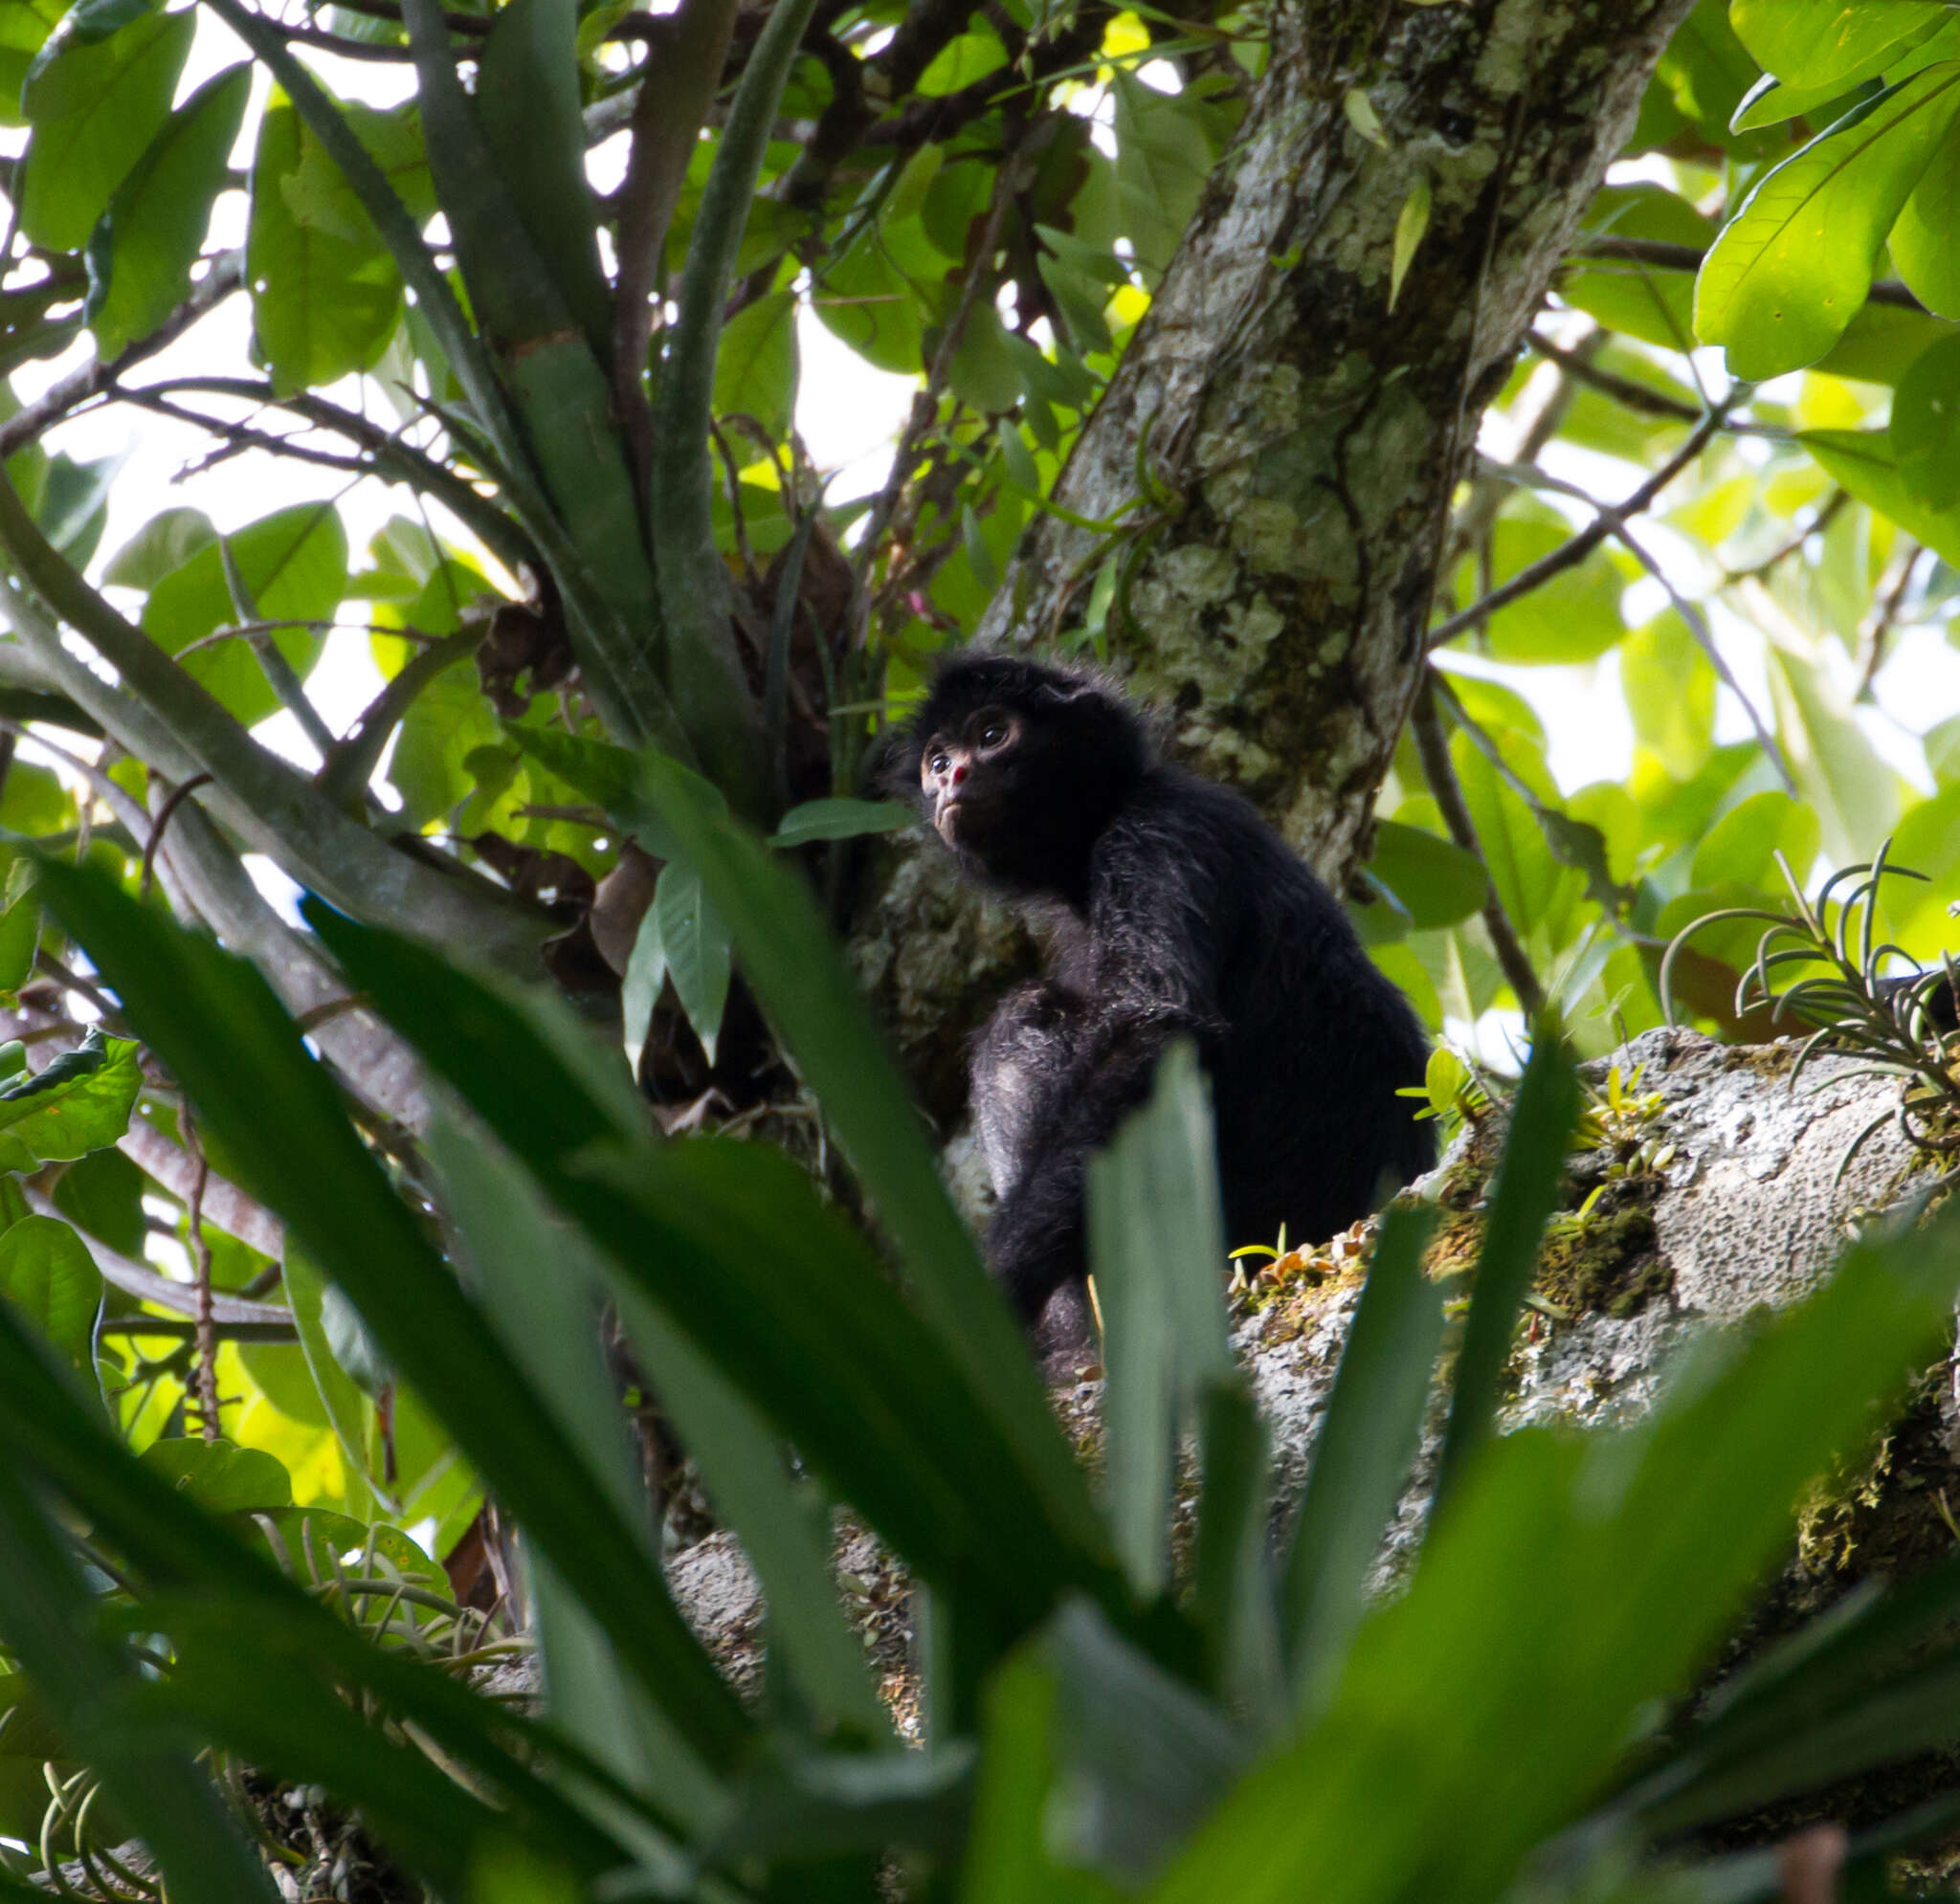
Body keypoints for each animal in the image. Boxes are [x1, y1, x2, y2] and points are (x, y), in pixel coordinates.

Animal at [893, 646, 1442, 1332]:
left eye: (993, 735)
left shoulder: (1155, 834)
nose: (954, 777)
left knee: (1021, 1017)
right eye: (937, 761)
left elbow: (1158, 1028)